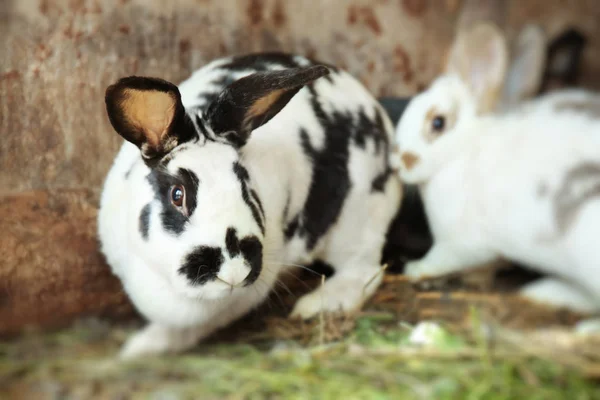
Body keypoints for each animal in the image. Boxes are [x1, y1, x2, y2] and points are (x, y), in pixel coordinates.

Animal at [97, 53, 404, 360]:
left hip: (356, 220)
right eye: (177, 195)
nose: (234, 269)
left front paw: (143, 346)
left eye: (246, 186)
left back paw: (316, 305)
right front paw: (137, 350)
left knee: (365, 269)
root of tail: (375, 112)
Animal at [394, 23, 600, 332]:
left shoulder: (461, 243)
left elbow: (441, 259)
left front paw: (415, 269)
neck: (463, 152)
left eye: (438, 123)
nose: (397, 161)